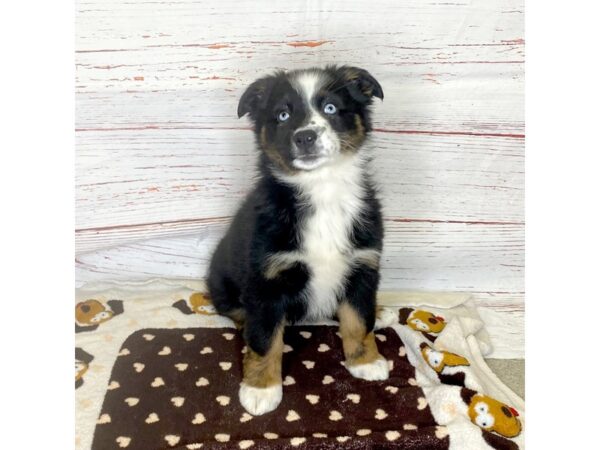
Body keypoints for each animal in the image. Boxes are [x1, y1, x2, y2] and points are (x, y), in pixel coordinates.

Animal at [209, 66, 390, 414]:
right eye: (282, 114)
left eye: (330, 108)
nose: (305, 137)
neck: (321, 189)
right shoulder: (266, 279)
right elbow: (266, 338)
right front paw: (261, 389)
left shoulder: (362, 266)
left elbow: (359, 319)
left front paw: (365, 362)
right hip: (221, 279)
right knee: (237, 311)